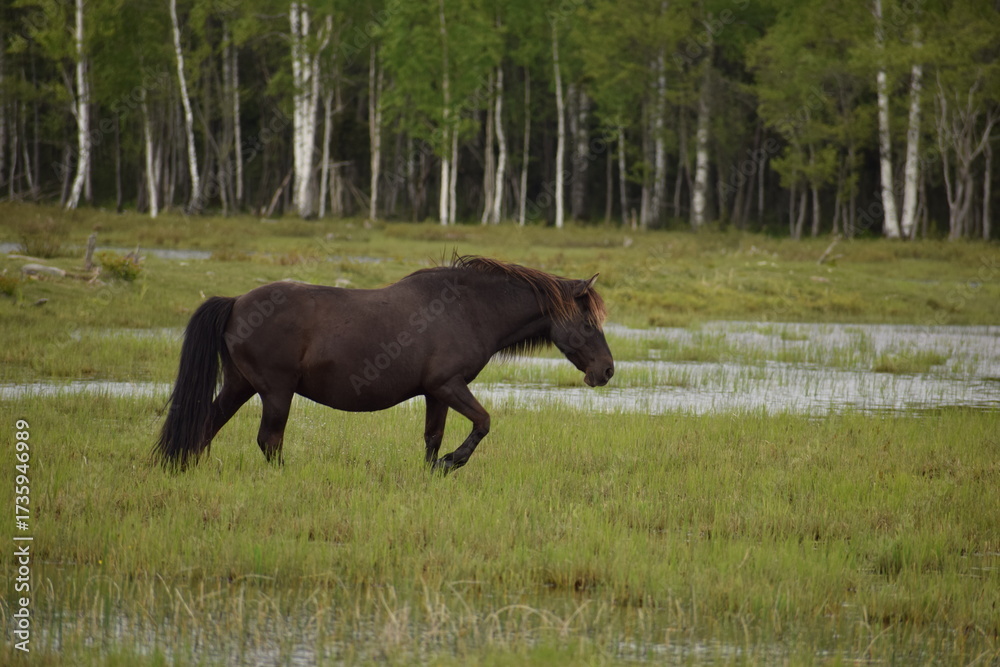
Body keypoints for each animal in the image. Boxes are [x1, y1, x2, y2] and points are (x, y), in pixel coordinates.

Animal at [154, 255, 614, 473]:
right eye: (588, 322)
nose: (607, 370)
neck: (468, 309)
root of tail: (236, 303)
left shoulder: (436, 393)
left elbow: (432, 438)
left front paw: (434, 470)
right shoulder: (449, 385)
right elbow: (483, 423)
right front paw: (453, 463)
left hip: (240, 385)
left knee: (205, 426)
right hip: (275, 392)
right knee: (269, 441)